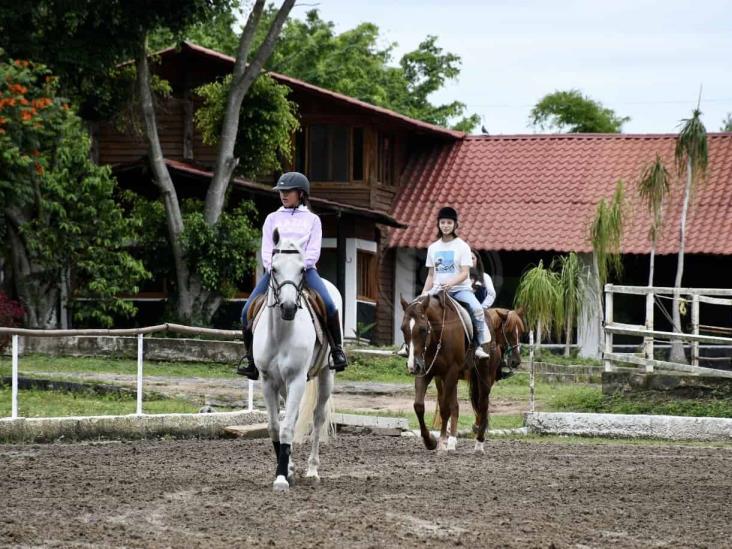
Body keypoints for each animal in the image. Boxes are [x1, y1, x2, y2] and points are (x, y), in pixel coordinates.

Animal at [253, 229, 338, 490]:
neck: (281, 332)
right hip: (284, 385)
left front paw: (281, 478)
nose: (289, 307)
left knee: (318, 418)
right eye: (274, 268)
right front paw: (285, 470)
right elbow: (275, 427)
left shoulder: (297, 379)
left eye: (302, 269)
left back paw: (312, 470)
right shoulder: (268, 381)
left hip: (326, 376)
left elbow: (288, 428)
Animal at [400, 294, 498, 452]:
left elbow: (445, 409)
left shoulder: (451, 371)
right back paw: (449, 441)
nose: (412, 366)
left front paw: (443, 443)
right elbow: (419, 405)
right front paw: (430, 441)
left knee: (483, 405)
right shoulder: (426, 372)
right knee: (455, 406)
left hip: (484, 376)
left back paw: (479, 444)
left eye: (422, 329)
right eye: (403, 329)